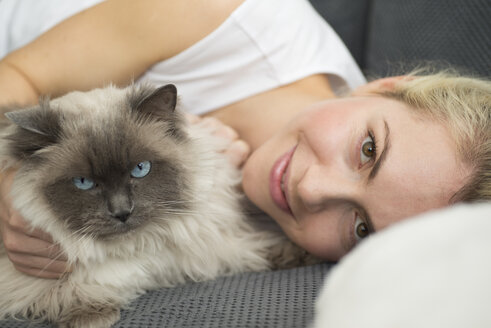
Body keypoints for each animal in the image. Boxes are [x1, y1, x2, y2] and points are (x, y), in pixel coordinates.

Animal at [0, 85, 316, 328]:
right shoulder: (25, 277)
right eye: (84, 182)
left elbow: (253, 250)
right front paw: (91, 317)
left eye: (140, 169)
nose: (122, 212)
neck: (138, 245)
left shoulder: (211, 249)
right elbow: (72, 291)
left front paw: (301, 255)